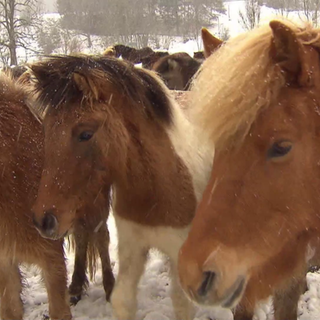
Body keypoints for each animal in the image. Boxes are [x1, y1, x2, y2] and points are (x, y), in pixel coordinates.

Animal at [28, 52, 308, 320]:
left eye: (85, 133)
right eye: (46, 128)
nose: (44, 221)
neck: (157, 186)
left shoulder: (182, 255)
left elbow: (182, 306)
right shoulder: (132, 247)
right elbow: (123, 301)